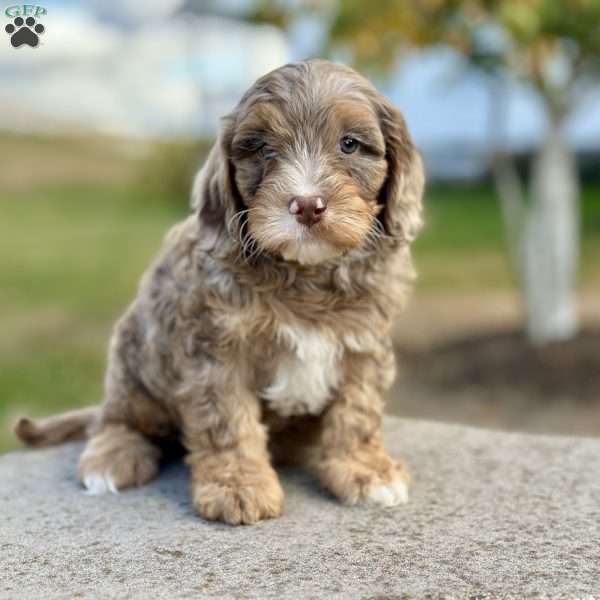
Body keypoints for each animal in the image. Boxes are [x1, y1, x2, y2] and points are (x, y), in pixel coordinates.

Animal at [15, 58, 426, 524]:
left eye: (350, 144)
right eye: (263, 149)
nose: (306, 205)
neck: (305, 274)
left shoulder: (365, 343)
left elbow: (357, 411)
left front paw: (365, 470)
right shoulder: (216, 350)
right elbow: (227, 420)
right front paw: (238, 484)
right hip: (134, 361)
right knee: (116, 417)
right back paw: (112, 456)